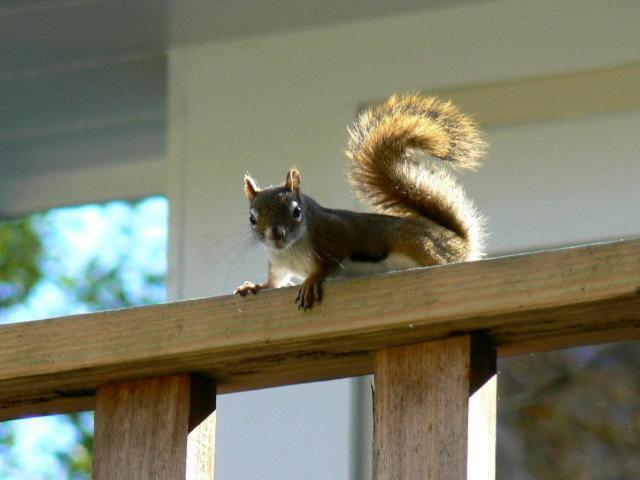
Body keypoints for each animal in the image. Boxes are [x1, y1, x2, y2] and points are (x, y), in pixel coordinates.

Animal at [232, 93, 488, 312]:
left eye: (296, 211)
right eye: (252, 218)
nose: (276, 234)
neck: (291, 249)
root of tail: (459, 241)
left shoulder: (333, 236)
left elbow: (328, 264)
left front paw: (312, 281)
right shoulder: (278, 264)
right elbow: (275, 281)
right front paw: (254, 286)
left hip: (418, 243)